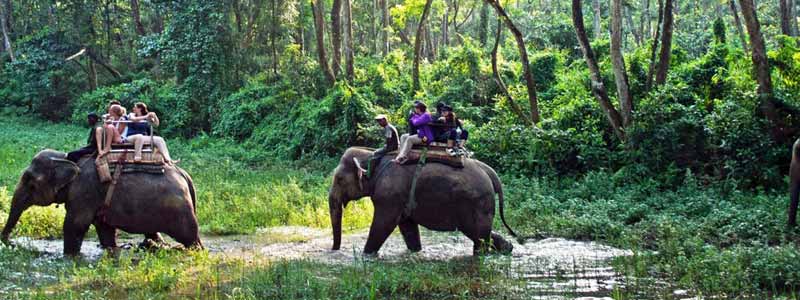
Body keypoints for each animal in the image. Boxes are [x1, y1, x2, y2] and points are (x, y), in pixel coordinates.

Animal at [1, 150, 202, 255]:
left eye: (30, 182)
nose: (12, 243)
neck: (66, 158)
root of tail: (185, 175)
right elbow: (104, 228)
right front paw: (111, 250)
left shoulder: (84, 192)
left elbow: (75, 225)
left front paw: (70, 256)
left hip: (179, 211)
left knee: (190, 238)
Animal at [328, 146, 516, 254]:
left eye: (339, 179)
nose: (334, 250)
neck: (372, 156)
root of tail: (489, 171)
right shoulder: (399, 197)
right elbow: (407, 225)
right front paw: (416, 251)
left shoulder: (389, 194)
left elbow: (384, 223)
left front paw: (366, 255)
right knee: (482, 233)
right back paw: (508, 248)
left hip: (476, 202)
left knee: (478, 235)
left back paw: (482, 255)